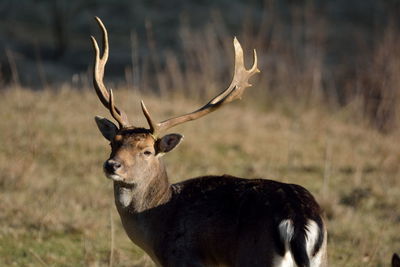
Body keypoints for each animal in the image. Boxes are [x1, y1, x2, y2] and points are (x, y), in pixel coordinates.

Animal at [90, 17, 328, 267]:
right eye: (113, 143)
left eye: (146, 151)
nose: (112, 165)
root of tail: (298, 220)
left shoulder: (184, 258)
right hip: (320, 257)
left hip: (255, 256)